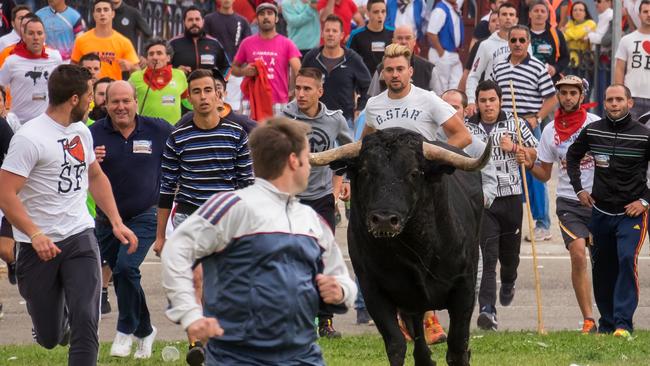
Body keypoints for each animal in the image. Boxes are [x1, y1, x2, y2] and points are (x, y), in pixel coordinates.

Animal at [312, 127, 488, 364]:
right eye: (365, 171)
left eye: (413, 173)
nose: (384, 219)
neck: (416, 250)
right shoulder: (373, 291)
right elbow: (396, 344)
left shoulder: (465, 287)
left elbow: (457, 346)